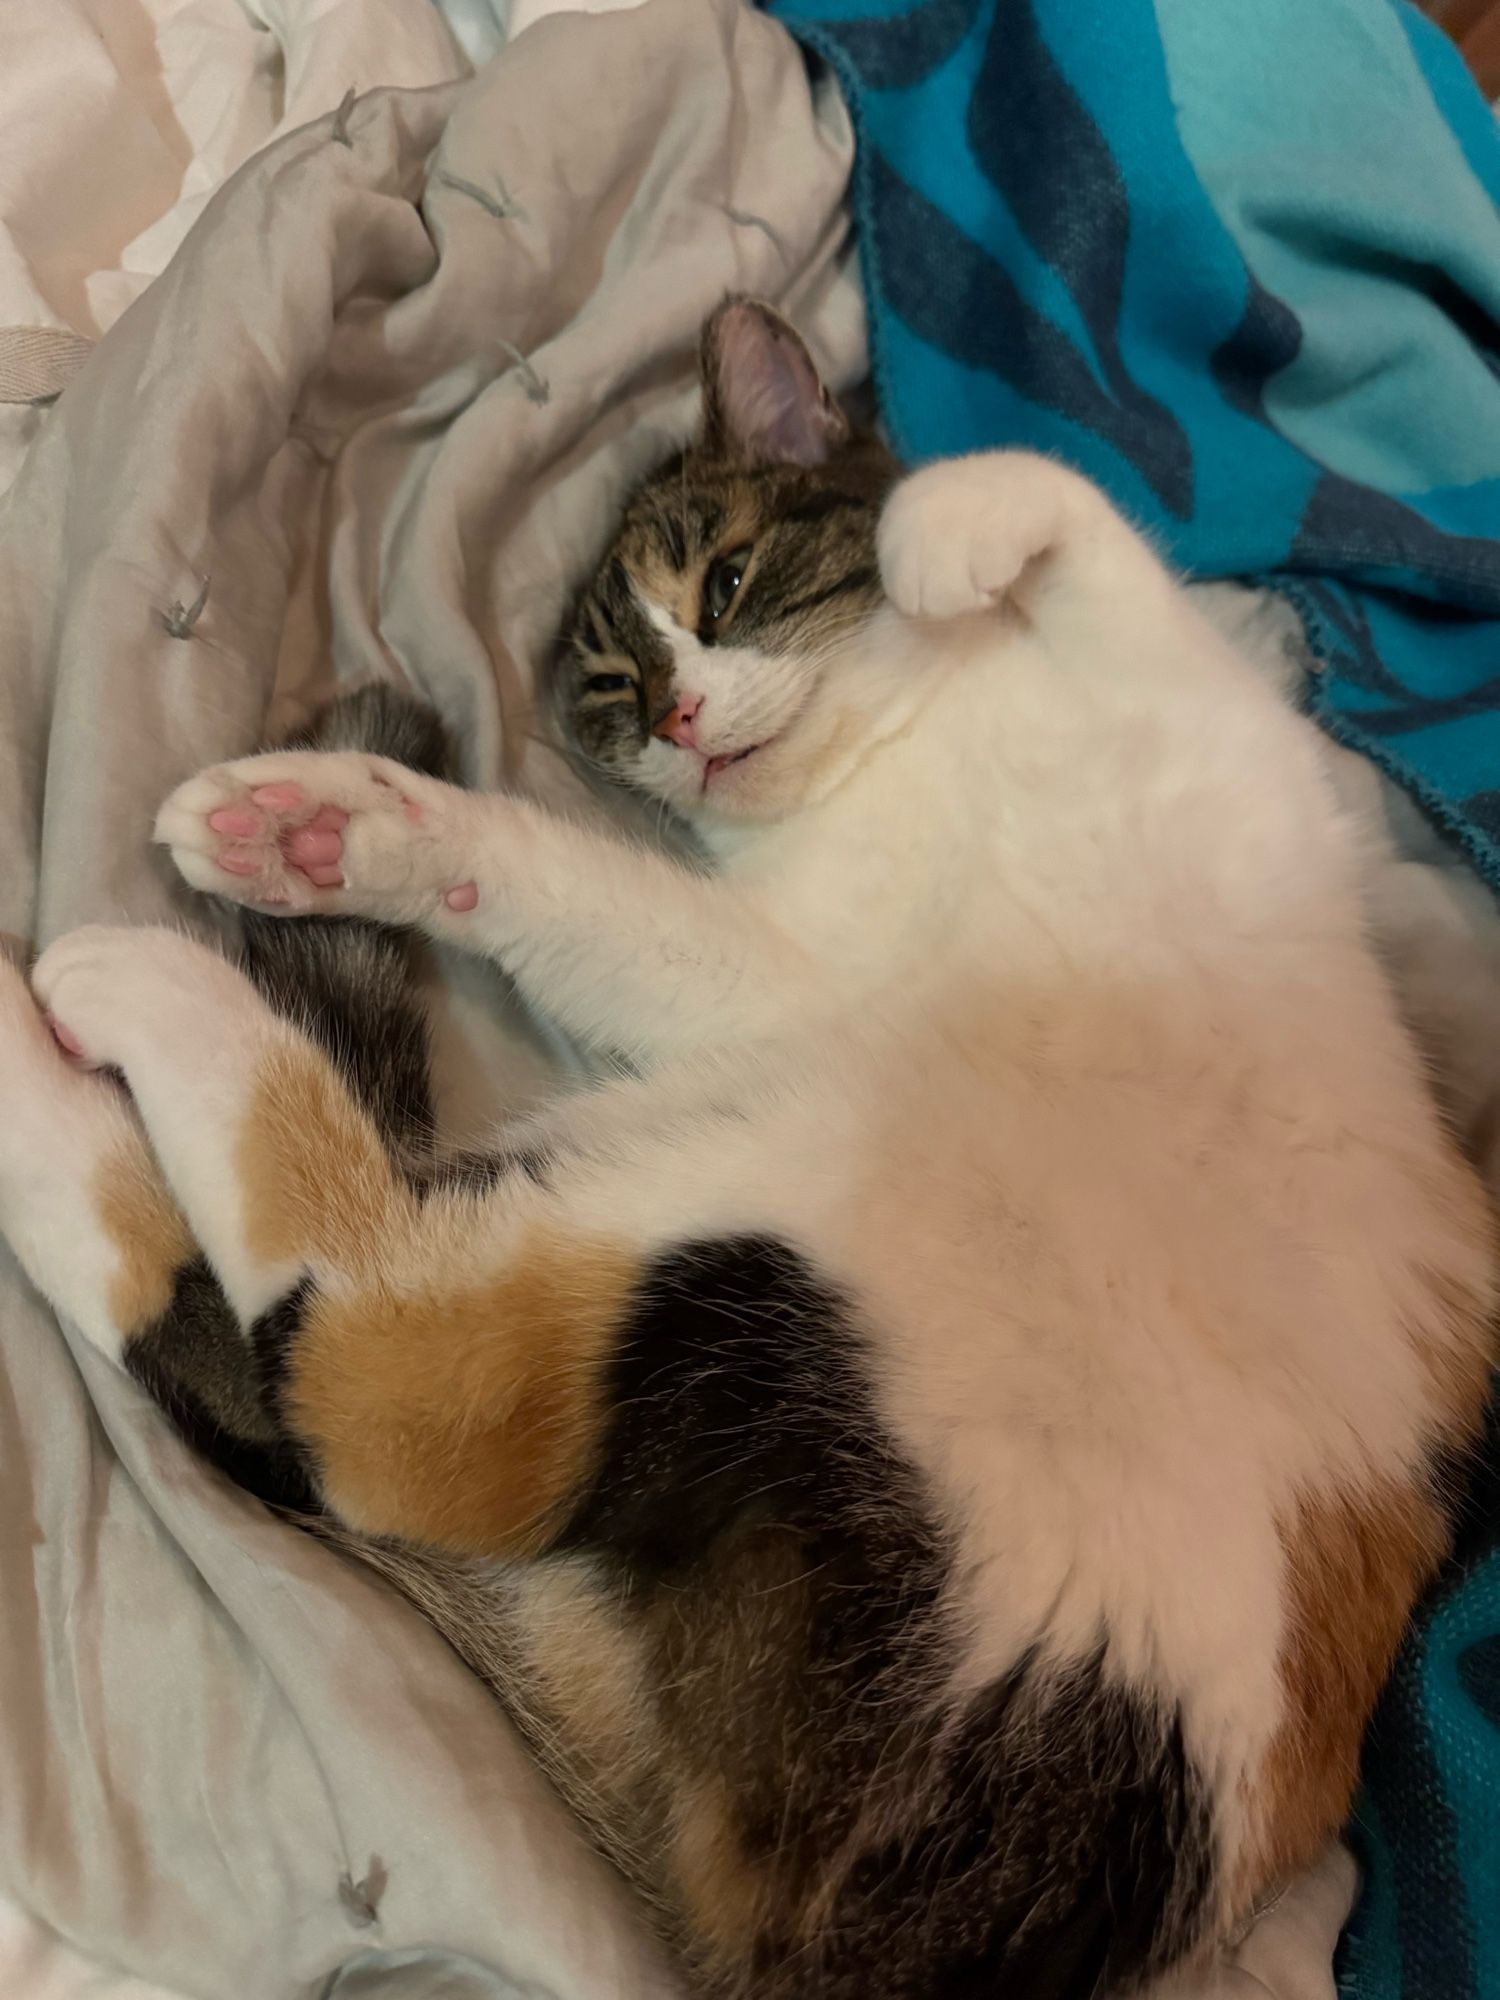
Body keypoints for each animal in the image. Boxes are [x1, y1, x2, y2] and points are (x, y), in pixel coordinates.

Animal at [0, 300, 1496, 2000]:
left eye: (724, 581)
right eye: (607, 684)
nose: (681, 722)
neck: (908, 743)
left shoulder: (1171, 759)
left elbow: (1076, 531)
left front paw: (954, 543)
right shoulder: (793, 968)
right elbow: (598, 899)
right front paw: (334, 831)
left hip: (790, 1248)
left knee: (375, 1374)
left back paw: (113, 1015)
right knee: (359, 1370)